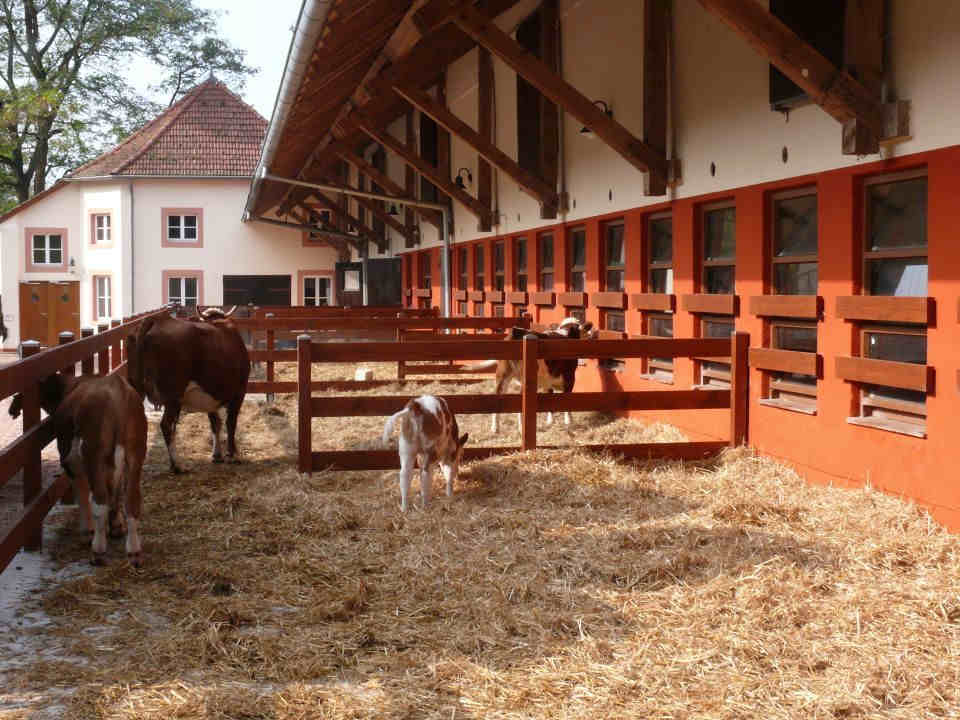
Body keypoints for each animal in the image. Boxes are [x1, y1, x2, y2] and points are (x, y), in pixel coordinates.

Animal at [8, 374, 148, 564]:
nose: (12, 409)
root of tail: (117, 387)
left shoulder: (70, 459)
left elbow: (81, 492)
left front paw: (88, 531)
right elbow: (115, 491)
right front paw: (116, 526)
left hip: (93, 454)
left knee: (99, 500)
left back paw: (97, 550)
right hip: (136, 452)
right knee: (131, 499)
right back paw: (134, 551)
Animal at [129, 304, 249, 472]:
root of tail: (156, 320)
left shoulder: (211, 397)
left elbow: (215, 423)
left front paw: (217, 454)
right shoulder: (239, 391)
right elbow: (230, 423)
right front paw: (232, 455)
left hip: (137, 389)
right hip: (173, 396)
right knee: (166, 425)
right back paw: (177, 465)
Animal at [464, 316, 592, 434]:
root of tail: (515, 332)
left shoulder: (548, 380)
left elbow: (550, 398)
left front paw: (550, 421)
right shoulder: (569, 377)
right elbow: (567, 400)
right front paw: (569, 421)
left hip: (502, 375)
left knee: (497, 397)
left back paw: (495, 428)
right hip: (525, 379)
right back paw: (522, 428)